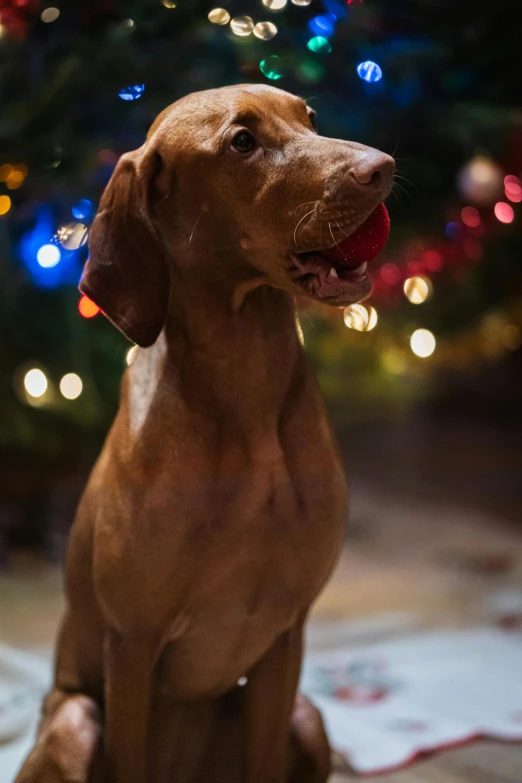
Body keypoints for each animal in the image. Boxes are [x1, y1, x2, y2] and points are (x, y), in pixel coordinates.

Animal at [14, 86, 392, 783]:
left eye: (310, 117)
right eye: (241, 142)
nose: (382, 168)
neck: (247, 393)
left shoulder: (287, 633)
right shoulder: (132, 642)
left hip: (309, 718)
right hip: (76, 722)